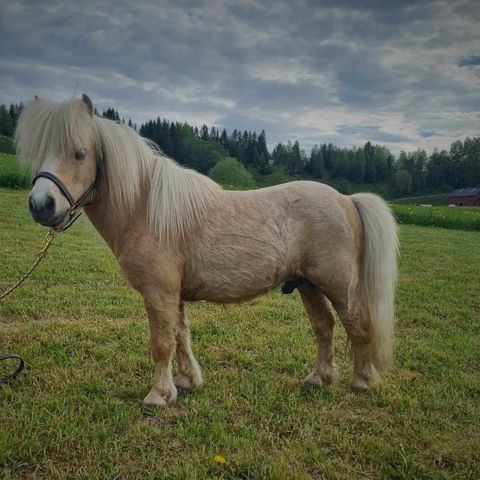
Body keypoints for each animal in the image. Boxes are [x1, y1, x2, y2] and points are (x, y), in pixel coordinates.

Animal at [15, 95, 398, 406]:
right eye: (38, 152)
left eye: (79, 153)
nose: (41, 205)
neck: (145, 208)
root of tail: (346, 199)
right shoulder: (172, 294)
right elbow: (180, 335)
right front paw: (187, 382)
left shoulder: (158, 292)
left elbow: (161, 342)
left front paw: (158, 395)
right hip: (308, 284)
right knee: (325, 327)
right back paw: (319, 378)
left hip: (337, 286)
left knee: (356, 324)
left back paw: (362, 381)